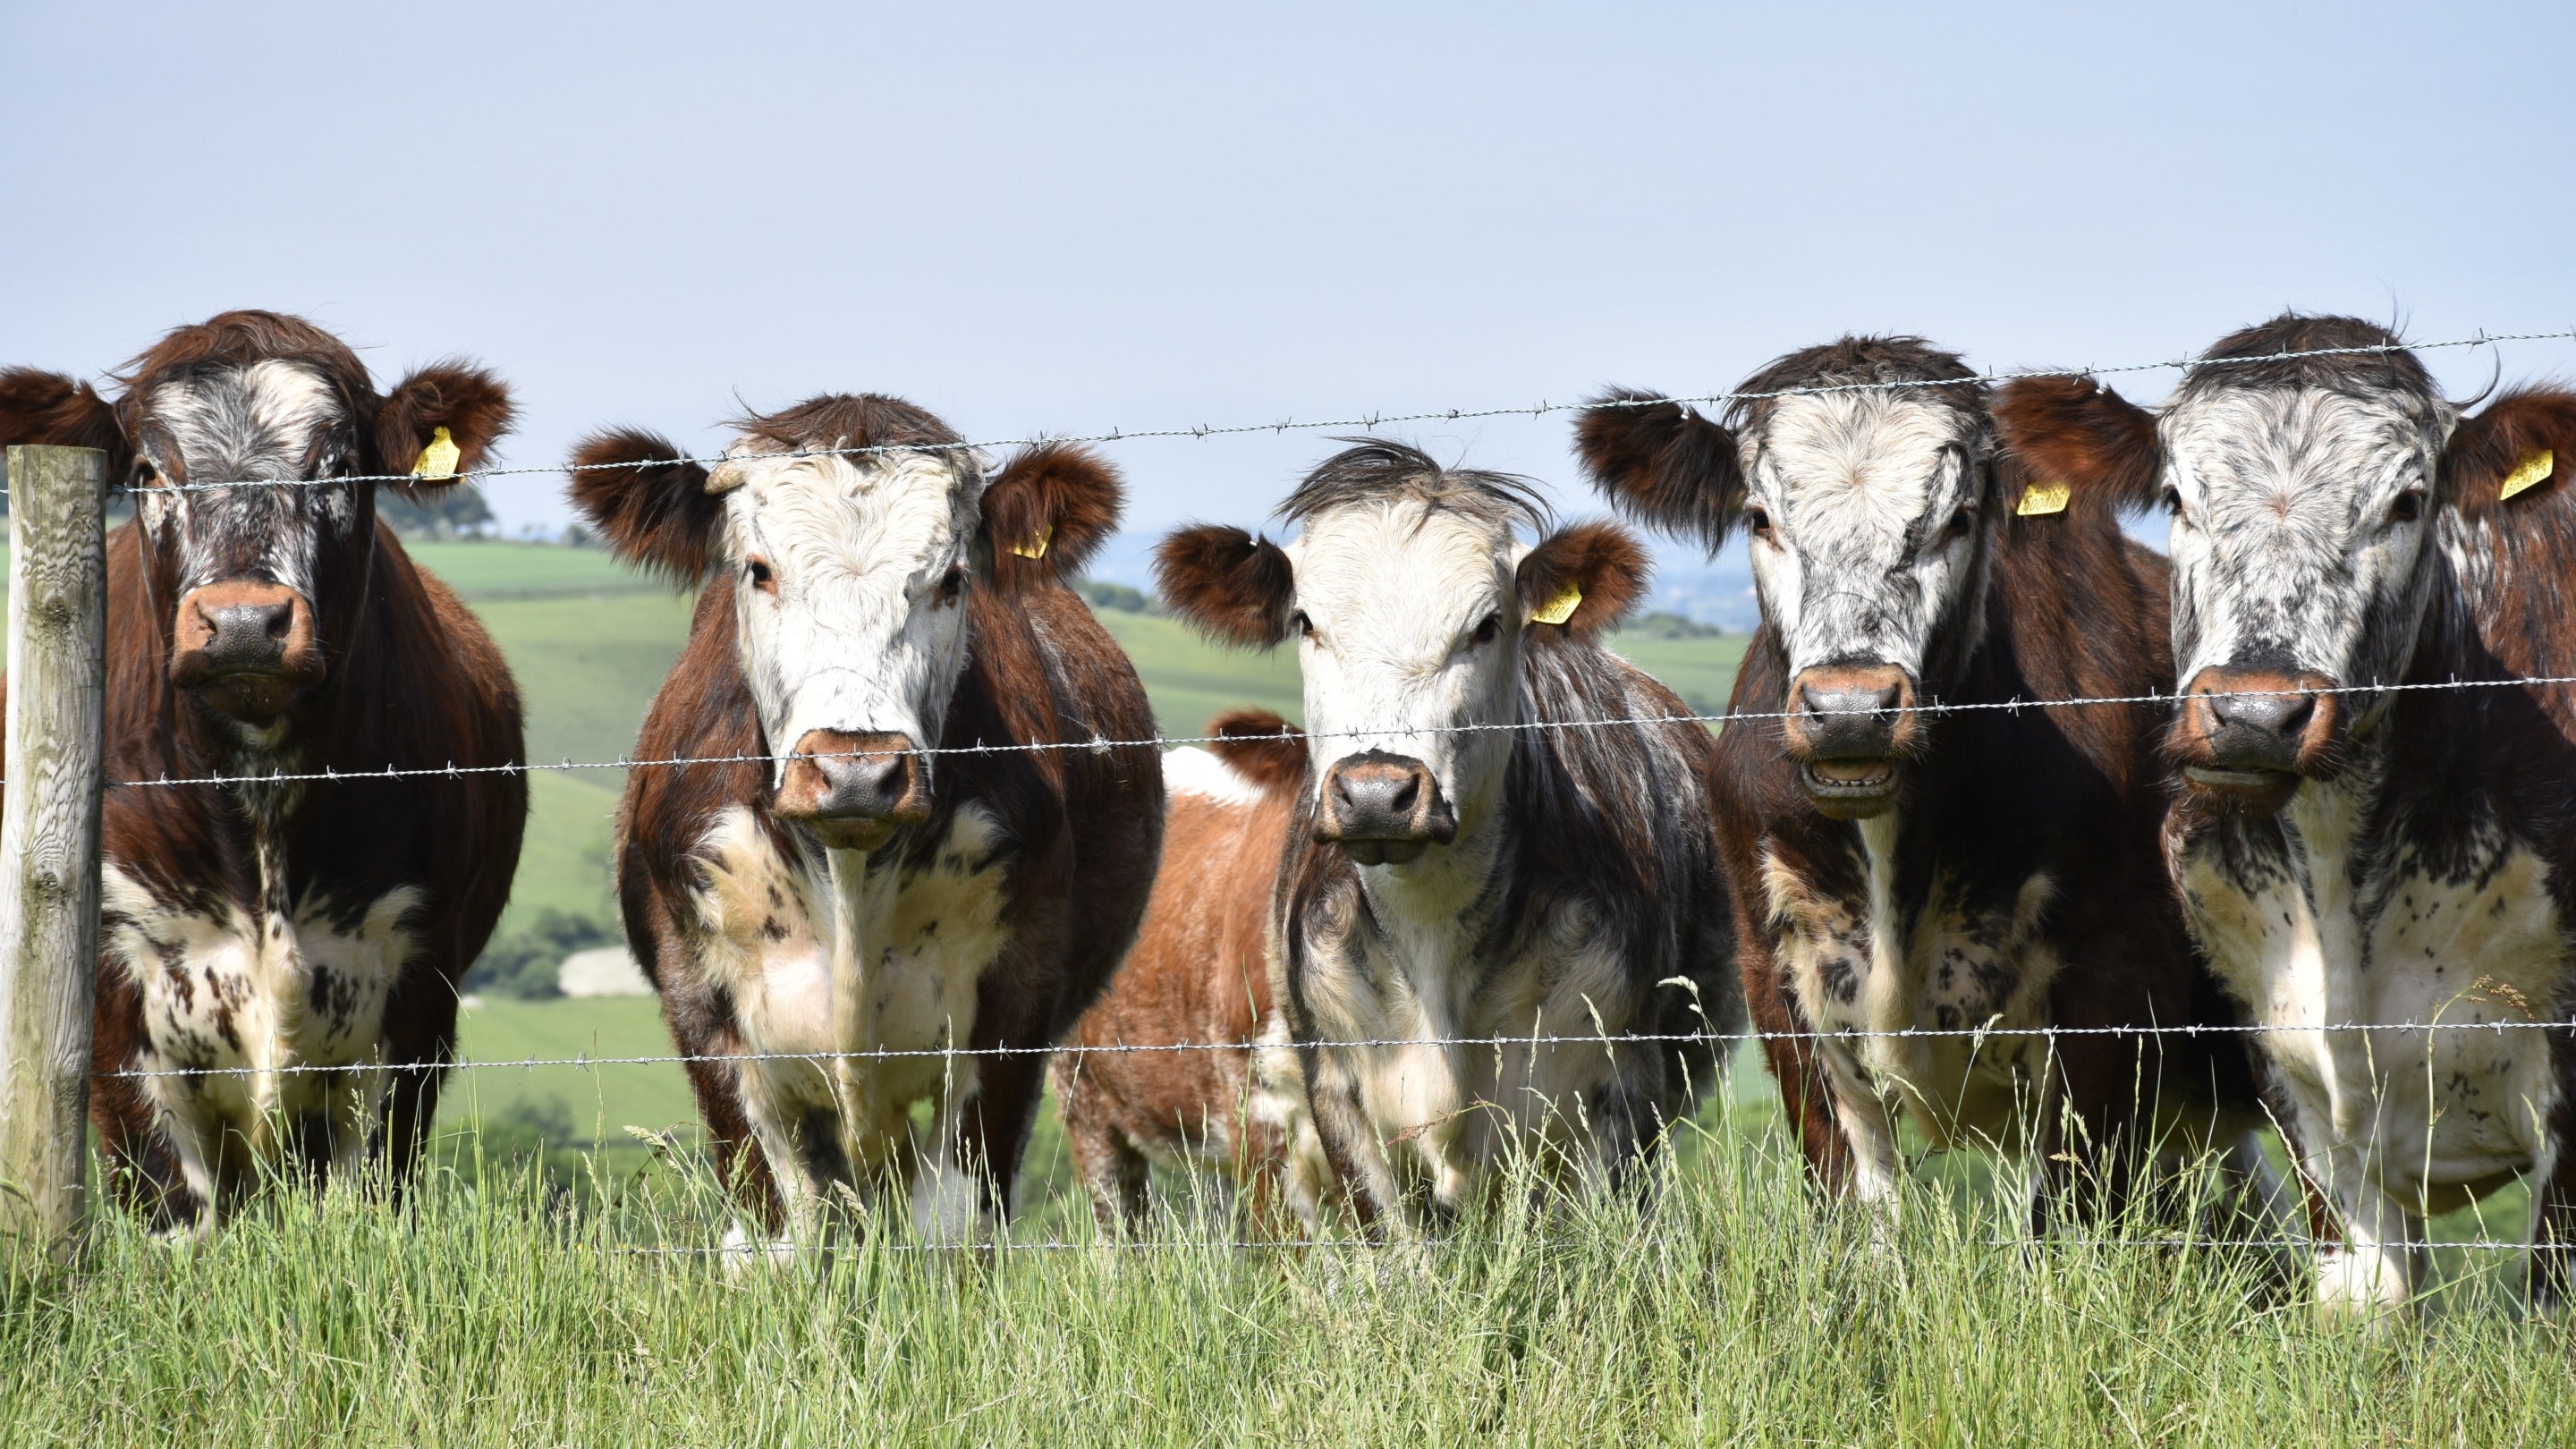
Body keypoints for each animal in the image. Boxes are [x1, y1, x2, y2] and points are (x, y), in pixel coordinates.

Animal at [0, 310, 527, 1233]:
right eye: (148, 471)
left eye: (339, 465)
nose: (245, 621)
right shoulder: (118, 1009)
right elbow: (173, 1205)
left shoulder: (416, 999)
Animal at [568, 395, 1162, 1249]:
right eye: (759, 569)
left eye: (952, 580)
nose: (857, 771)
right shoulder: (705, 1012)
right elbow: (776, 1236)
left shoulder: (1013, 1012)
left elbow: (952, 1229)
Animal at [1152, 440, 1737, 1230]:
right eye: (1304, 621)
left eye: (1487, 624)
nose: (1376, 793)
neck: (1434, 939)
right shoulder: (1336, 1095)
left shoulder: (1616, 1091)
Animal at [1575, 336, 2269, 1236]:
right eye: (1760, 517)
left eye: (1959, 519)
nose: (1849, 711)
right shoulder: (1778, 976)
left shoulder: (2116, 979)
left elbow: (2067, 1218)